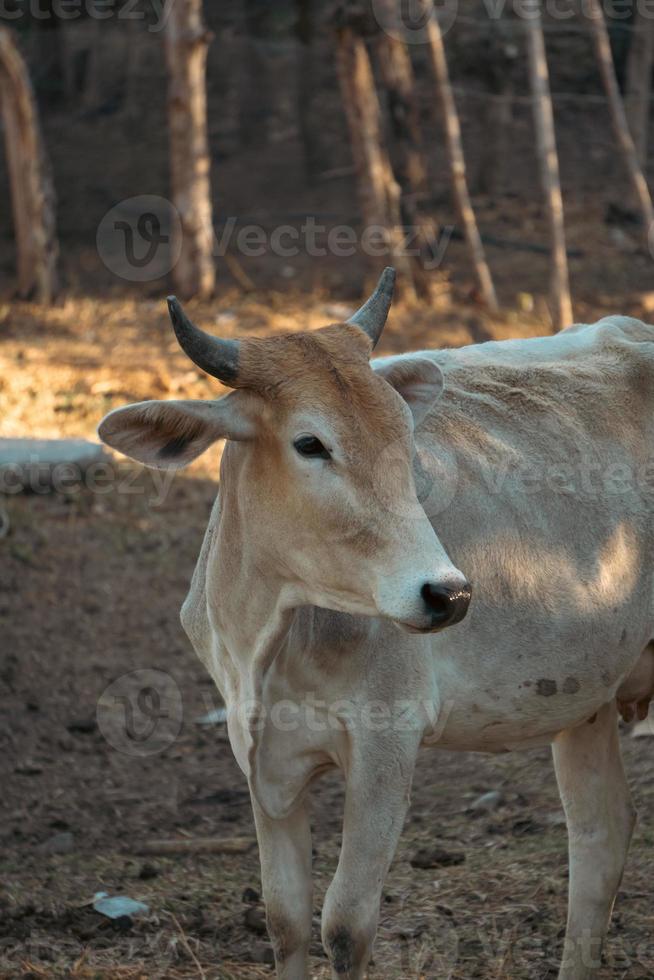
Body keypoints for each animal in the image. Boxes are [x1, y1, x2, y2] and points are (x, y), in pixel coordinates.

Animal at [100, 268, 654, 980]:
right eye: (310, 443)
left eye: (403, 435)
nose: (448, 593)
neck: (273, 636)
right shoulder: (260, 759)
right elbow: (284, 919)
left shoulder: (387, 742)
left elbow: (344, 925)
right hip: (585, 703)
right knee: (601, 833)